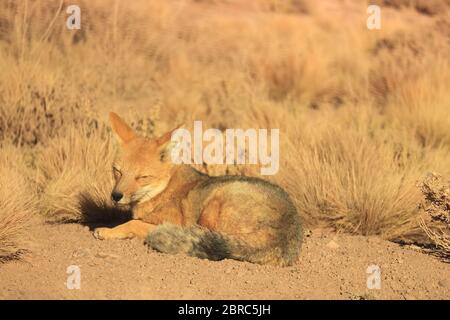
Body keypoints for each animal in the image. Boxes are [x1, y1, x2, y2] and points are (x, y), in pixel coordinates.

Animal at [92, 112, 302, 268]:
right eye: (117, 171)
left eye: (142, 177)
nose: (116, 196)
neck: (163, 190)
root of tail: (287, 228)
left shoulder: (170, 220)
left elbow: (133, 224)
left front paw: (107, 231)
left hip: (216, 200)